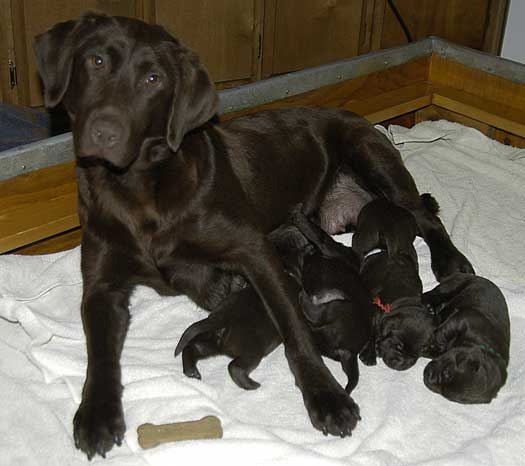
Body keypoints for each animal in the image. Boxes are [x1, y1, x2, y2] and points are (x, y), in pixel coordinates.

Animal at [354, 198, 436, 372]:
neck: (404, 302)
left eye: (418, 352)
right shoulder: (375, 314)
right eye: (398, 346)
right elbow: (372, 332)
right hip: (364, 236)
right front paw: (370, 354)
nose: (401, 364)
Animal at [422, 274, 508, 404]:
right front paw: (433, 342)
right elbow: (445, 331)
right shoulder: (464, 319)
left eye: (445, 394)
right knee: (433, 294)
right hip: (454, 284)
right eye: (446, 373)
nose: (427, 378)